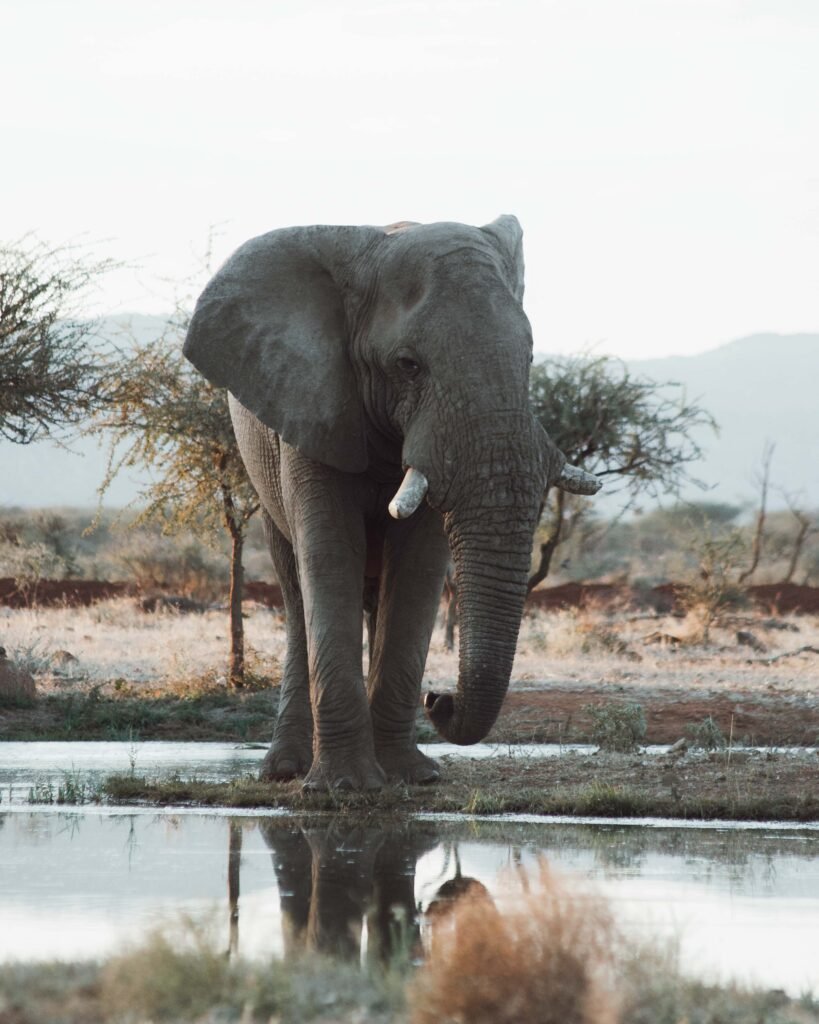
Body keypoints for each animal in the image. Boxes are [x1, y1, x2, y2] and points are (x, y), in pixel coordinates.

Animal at [184, 216, 600, 791]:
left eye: (531, 357)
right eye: (408, 365)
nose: (438, 697)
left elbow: (419, 567)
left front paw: (412, 778)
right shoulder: (314, 403)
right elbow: (330, 554)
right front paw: (345, 787)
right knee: (296, 593)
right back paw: (284, 771)